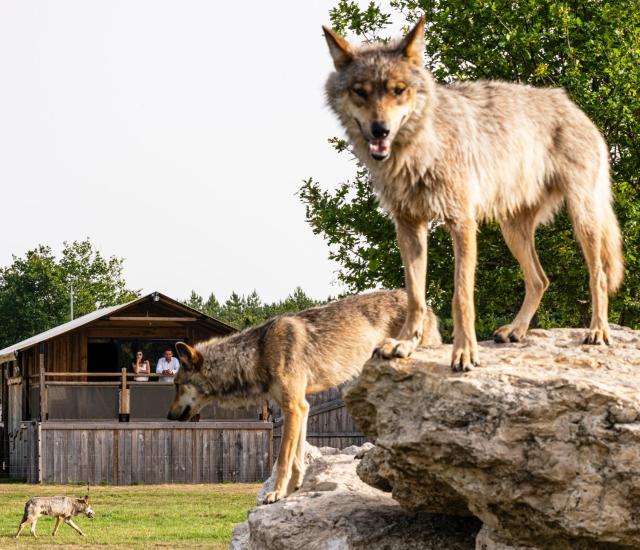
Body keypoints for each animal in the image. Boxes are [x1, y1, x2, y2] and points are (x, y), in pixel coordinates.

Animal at [165, 292, 440, 506]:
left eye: (177, 384)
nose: (167, 415)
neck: (259, 352)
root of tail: (427, 306)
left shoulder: (293, 408)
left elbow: (284, 458)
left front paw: (275, 493)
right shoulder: (301, 408)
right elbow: (297, 457)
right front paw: (292, 490)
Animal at [322, 17, 624, 374]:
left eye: (398, 90)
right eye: (360, 91)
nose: (379, 129)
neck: (419, 151)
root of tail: (571, 104)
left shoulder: (462, 222)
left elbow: (461, 296)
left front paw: (464, 353)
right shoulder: (409, 226)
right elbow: (415, 296)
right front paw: (405, 344)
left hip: (582, 219)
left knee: (598, 276)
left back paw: (598, 331)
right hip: (512, 230)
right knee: (540, 279)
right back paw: (516, 330)